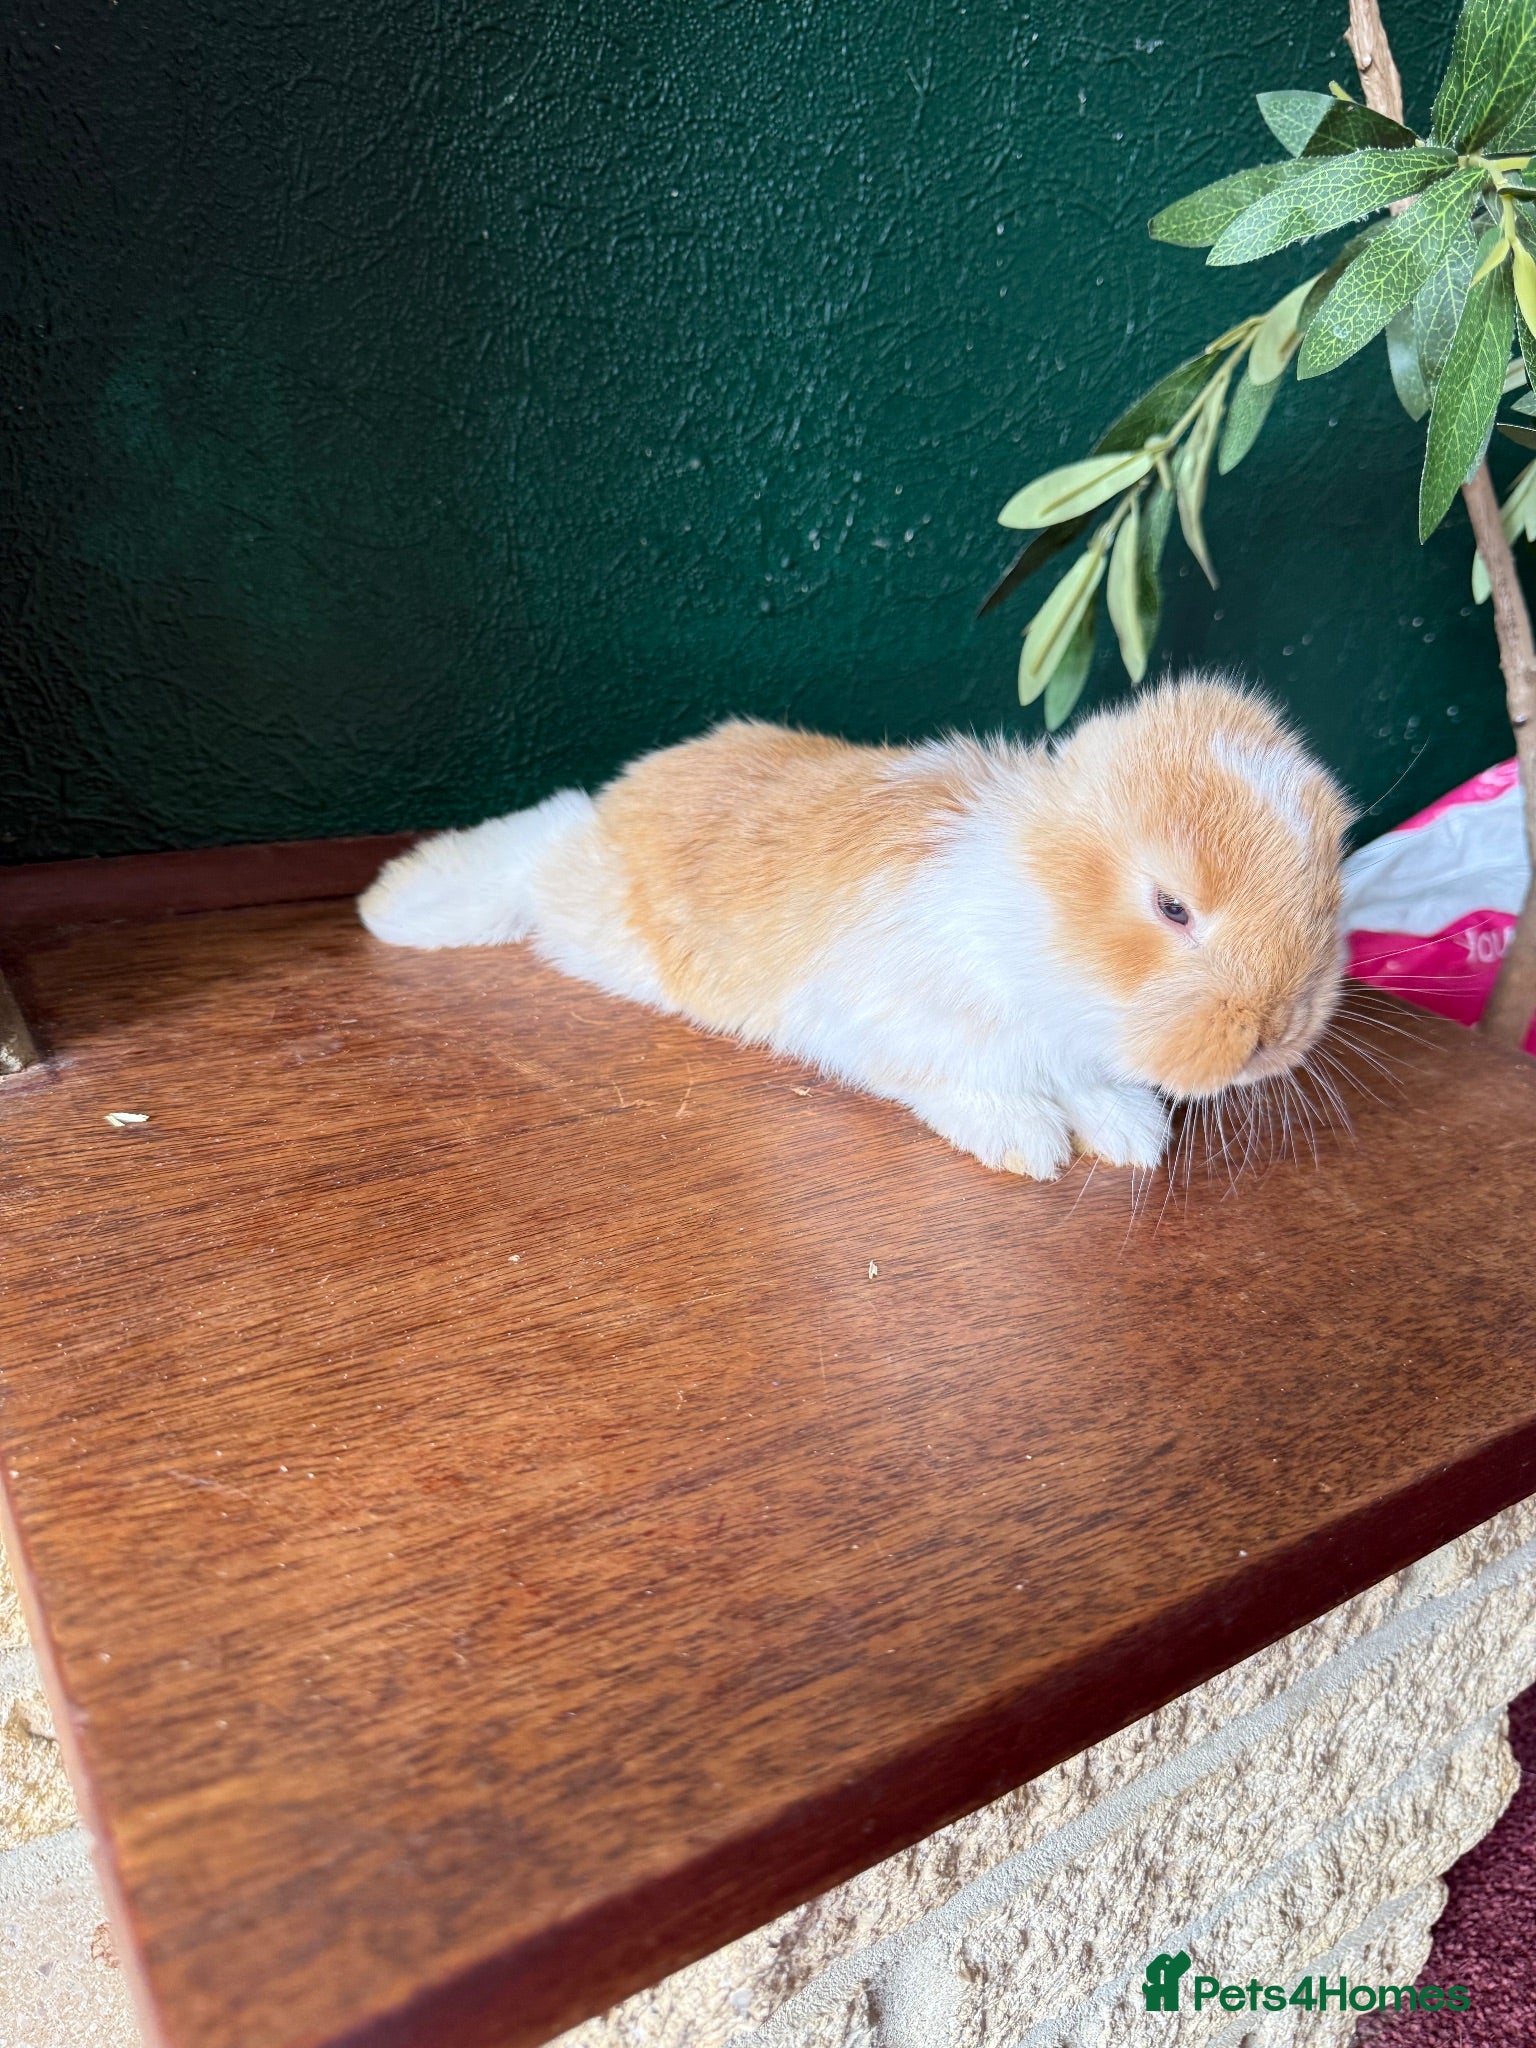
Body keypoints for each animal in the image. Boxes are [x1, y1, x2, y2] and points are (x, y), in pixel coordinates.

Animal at [358, 675, 1353, 1179]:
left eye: (1328, 897)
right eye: (1172, 907)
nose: (1279, 1031)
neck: (1035, 908)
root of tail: (621, 801)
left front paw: (1130, 1136)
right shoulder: (904, 1025)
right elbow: (968, 1085)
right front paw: (1031, 1146)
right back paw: (393, 903)